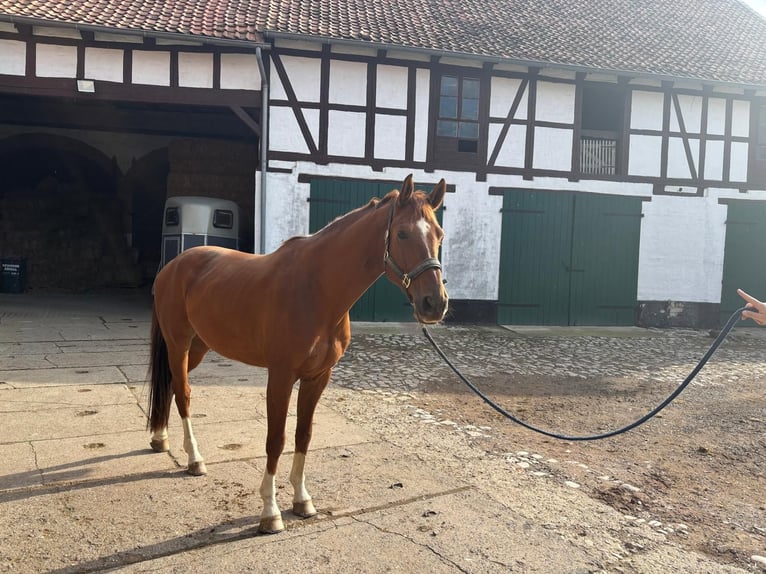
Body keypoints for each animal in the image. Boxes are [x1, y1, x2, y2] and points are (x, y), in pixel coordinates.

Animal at [147, 174, 448, 534]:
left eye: (439, 234)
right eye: (402, 233)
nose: (435, 304)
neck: (316, 290)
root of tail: (172, 266)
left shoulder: (318, 377)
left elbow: (303, 434)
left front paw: (302, 500)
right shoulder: (281, 376)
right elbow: (275, 439)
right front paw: (270, 511)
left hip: (198, 347)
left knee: (170, 385)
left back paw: (160, 438)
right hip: (178, 343)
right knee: (183, 393)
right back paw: (194, 459)